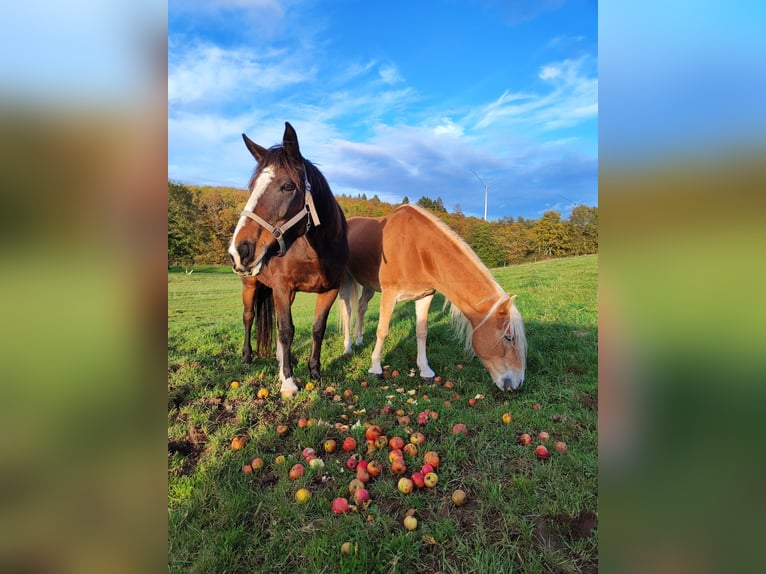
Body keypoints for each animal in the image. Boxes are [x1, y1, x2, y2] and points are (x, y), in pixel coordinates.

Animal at [229, 122, 349, 398]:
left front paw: (314, 372)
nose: (239, 250)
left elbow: (317, 329)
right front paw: (288, 381)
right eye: (251, 188)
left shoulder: (329, 290)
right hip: (250, 285)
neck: (316, 251)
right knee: (249, 316)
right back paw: (248, 356)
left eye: (287, 187)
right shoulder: (282, 287)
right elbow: (286, 331)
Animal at [338, 204, 526, 392]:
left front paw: (425, 371)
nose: (517, 384)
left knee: (361, 307)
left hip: (369, 285)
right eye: (509, 337)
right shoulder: (389, 295)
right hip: (346, 281)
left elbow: (422, 331)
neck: (416, 248)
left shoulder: (425, 296)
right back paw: (348, 347)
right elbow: (382, 331)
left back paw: (359, 339)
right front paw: (375, 368)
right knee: (347, 311)